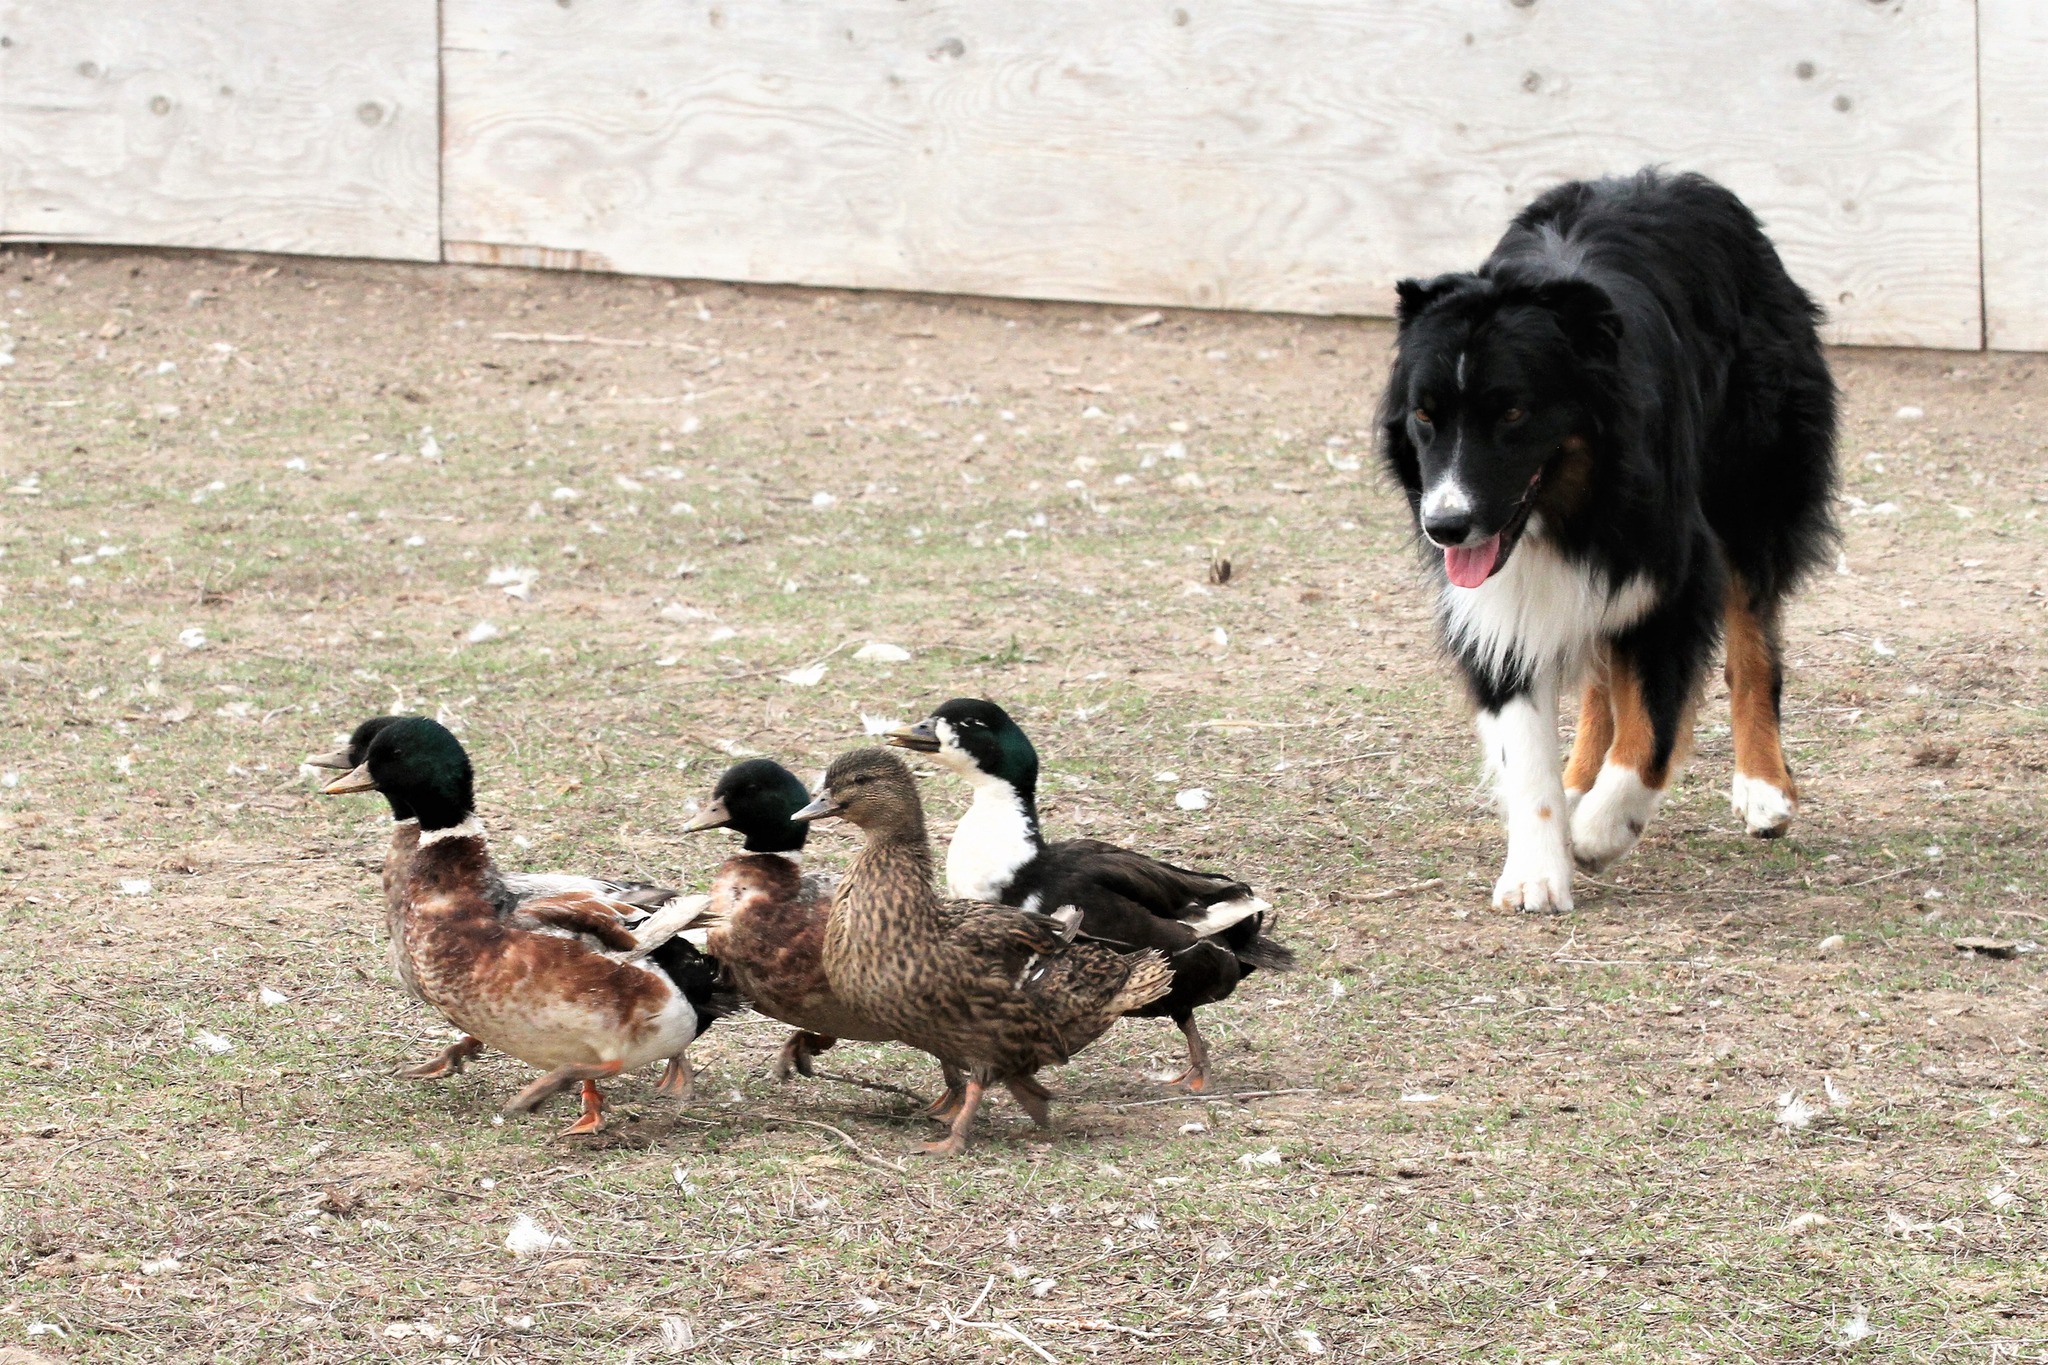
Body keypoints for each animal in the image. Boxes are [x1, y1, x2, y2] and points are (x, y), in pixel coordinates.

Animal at [1377, 169, 1837, 912]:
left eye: (1513, 412)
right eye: (1424, 415)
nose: (1444, 525)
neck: (1568, 514)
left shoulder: (1672, 575)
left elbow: (1652, 730)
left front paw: (1601, 832)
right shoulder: (1493, 601)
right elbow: (1526, 742)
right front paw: (1539, 866)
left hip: (1752, 487)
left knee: (1751, 640)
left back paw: (1763, 787)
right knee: (1599, 672)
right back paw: (1577, 782)